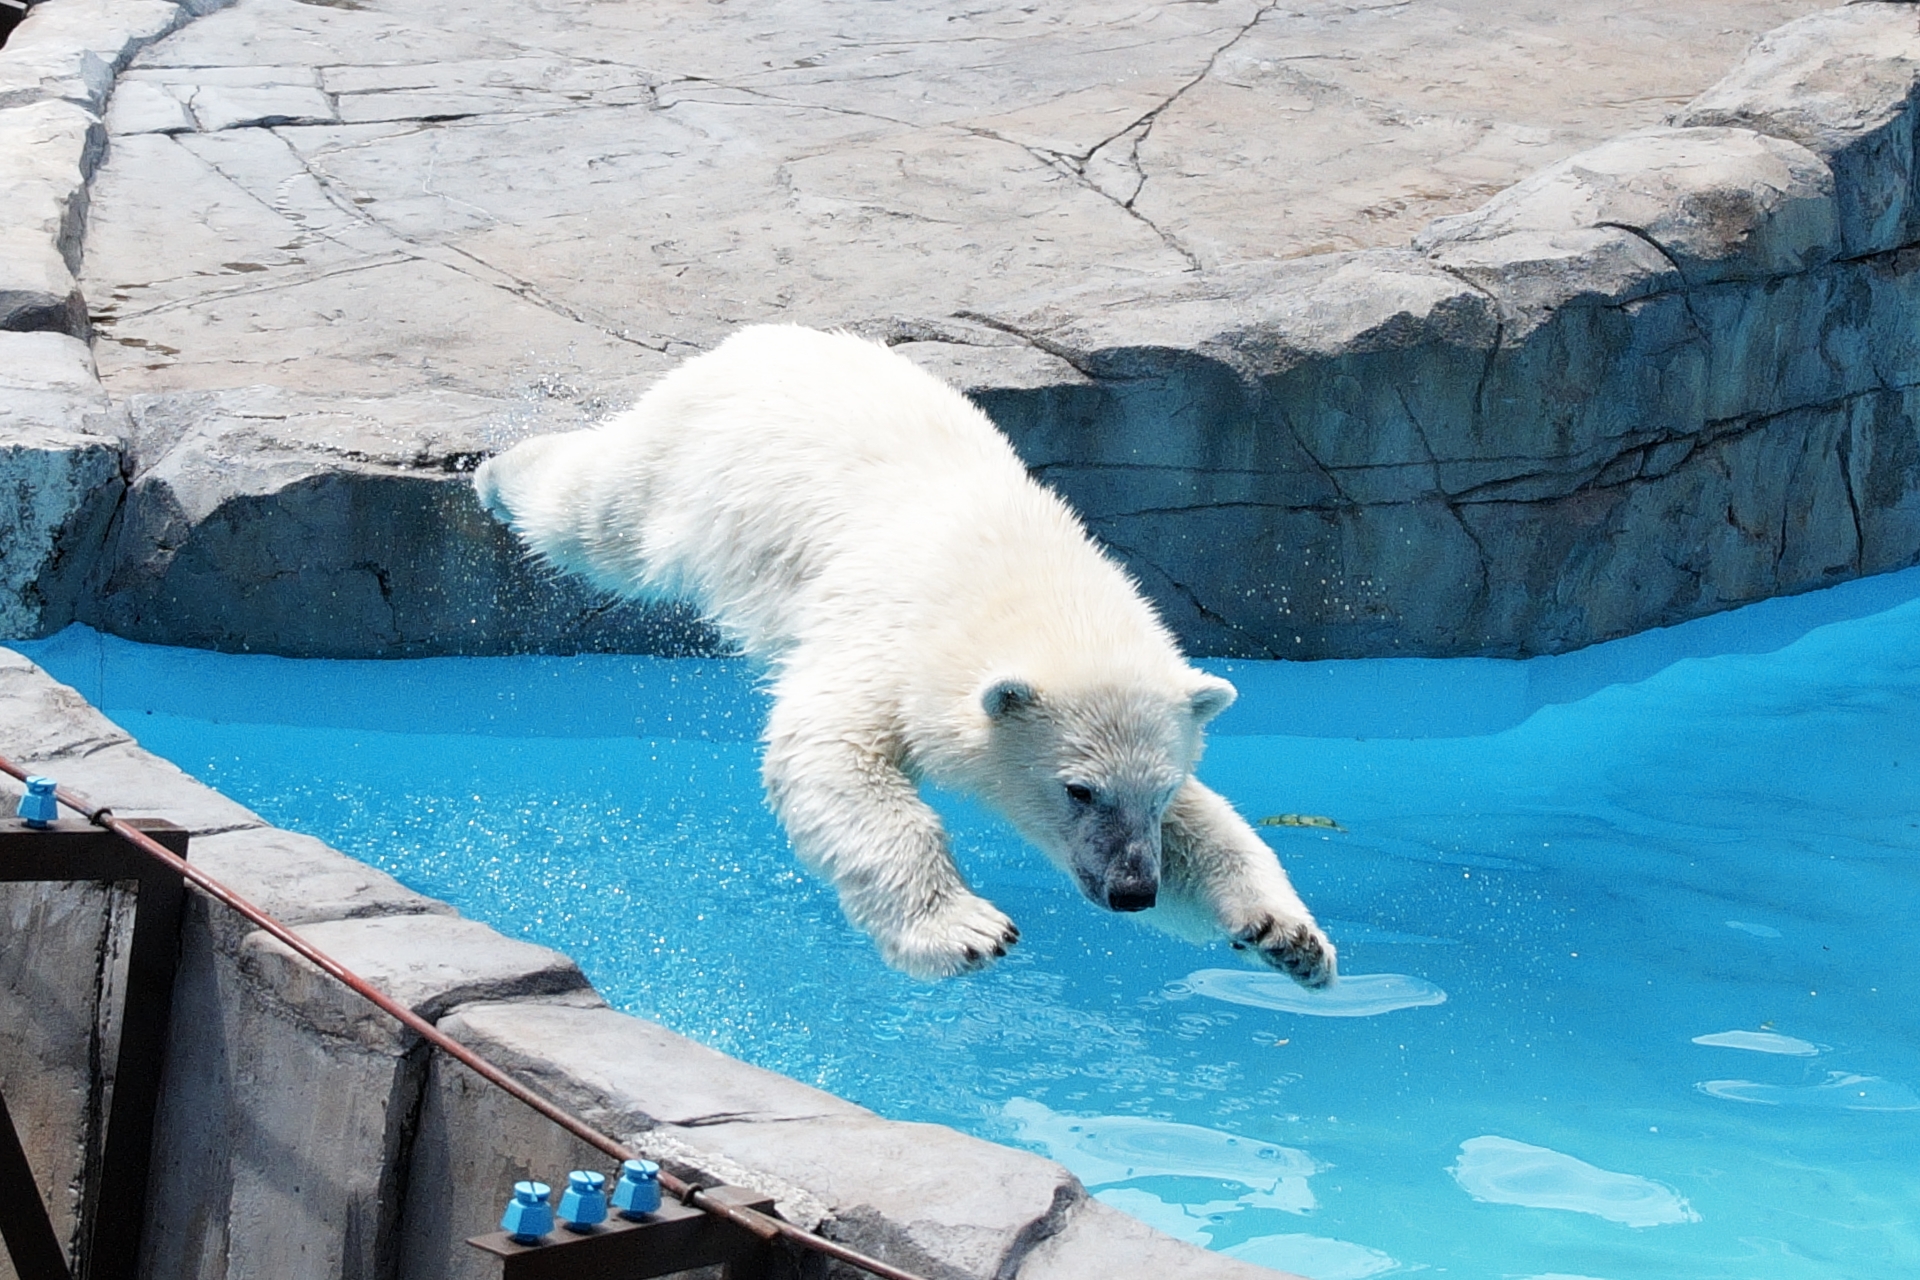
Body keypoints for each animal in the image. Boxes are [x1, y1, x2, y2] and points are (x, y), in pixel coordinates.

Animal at [472, 326, 1336, 990]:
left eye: (1158, 792)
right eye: (1078, 790)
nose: (1132, 890)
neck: (1017, 575)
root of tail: (761, 337)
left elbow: (1212, 826)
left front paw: (1289, 938)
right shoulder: (889, 639)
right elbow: (829, 754)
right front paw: (964, 931)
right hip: (682, 466)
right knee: (596, 512)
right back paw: (494, 473)